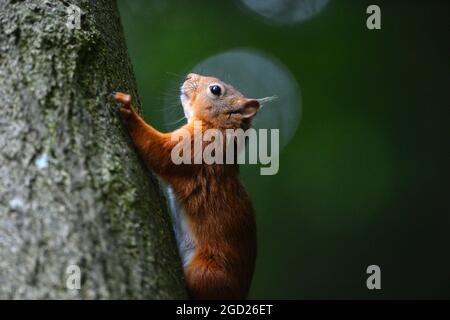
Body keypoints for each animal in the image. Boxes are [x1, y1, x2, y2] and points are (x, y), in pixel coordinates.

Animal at [114, 74, 266, 298]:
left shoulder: (194, 147)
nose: (189, 76)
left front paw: (128, 110)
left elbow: (160, 151)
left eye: (215, 90)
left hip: (205, 272)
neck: (216, 129)